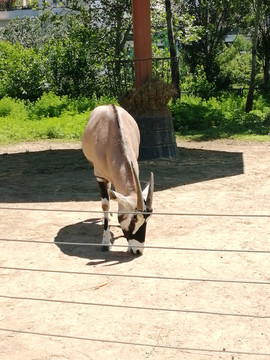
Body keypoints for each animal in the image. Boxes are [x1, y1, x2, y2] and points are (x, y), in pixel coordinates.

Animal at [81, 103, 154, 256]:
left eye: (147, 219)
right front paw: (105, 242)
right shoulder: (100, 176)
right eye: (134, 219)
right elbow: (105, 204)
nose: (138, 250)